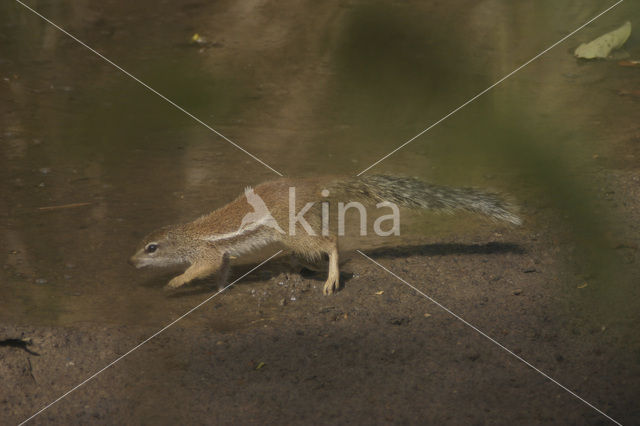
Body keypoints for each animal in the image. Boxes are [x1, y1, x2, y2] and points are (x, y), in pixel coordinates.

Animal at [129, 175, 520, 294]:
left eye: (151, 248)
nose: (131, 261)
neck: (186, 236)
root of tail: (313, 185)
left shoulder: (205, 253)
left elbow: (202, 267)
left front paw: (175, 282)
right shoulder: (222, 254)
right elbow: (223, 268)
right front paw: (220, 288)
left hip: (293, 233)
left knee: (330, 243)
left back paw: (330, 278)